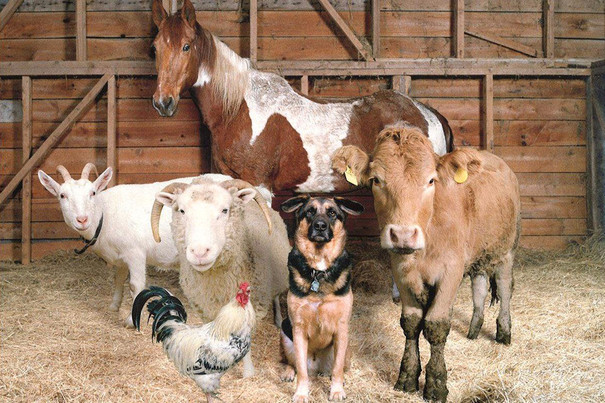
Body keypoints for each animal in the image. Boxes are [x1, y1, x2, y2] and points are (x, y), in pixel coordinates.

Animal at [150, 0, 454, 193]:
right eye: (155, 48)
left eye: (186, 46)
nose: (163, 102)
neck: (237, 110)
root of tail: (428, 114)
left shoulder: (259, 186)